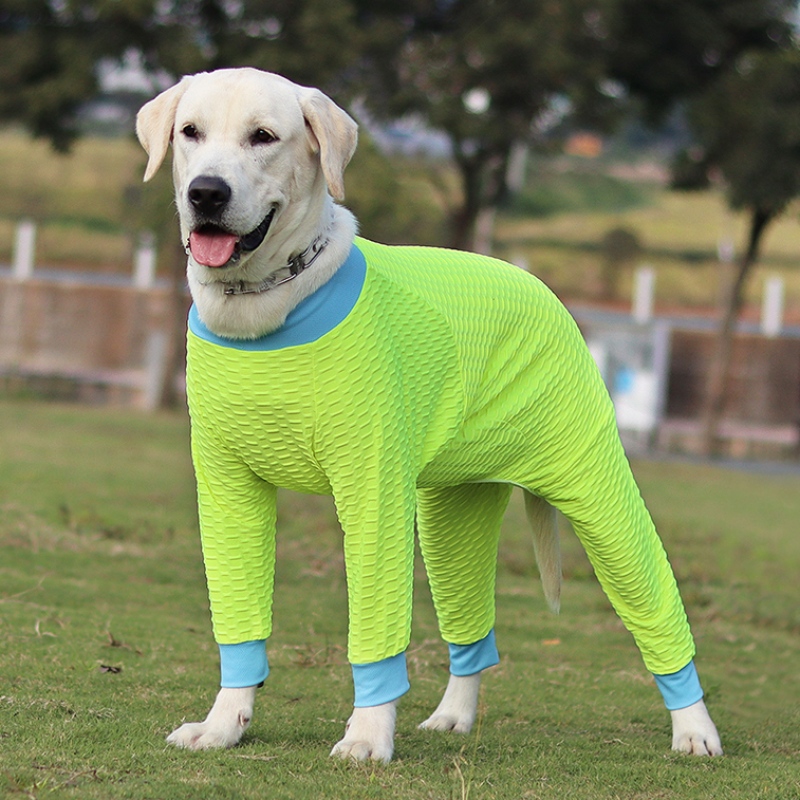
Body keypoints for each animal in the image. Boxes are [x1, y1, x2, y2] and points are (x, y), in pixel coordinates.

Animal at [134, 65, 720, 760]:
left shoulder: (372, 492)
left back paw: (694, 728)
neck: (265, 305)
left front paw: (366, 738)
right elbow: (239, 618)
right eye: (190, 132)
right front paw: (223, 726)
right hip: (450, 516)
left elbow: (375, 625)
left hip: (594, 489)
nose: (206, 192)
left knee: (652, 601)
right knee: (473, 632)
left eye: (264, 137)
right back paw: (453, 716)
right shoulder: (228, 490)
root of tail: (535, 283)